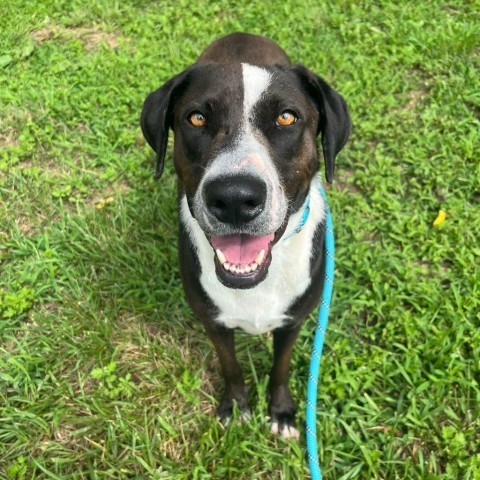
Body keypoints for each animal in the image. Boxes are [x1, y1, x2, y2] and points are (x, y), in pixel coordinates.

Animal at [139, 32, 348, 438]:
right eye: (197, 118)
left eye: (286, 117)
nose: (234, 198)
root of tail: (240, 34)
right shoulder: (214, 323)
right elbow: (230, 367)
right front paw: (236, 407)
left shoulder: (293, 322)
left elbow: (281, 368)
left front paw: (281, 412)